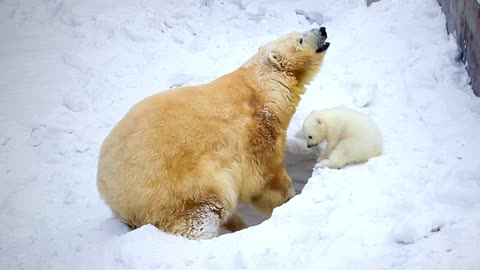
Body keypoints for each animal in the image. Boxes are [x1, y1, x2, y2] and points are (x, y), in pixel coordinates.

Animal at [97, 26, 330, 238]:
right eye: (301, 39)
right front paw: (289, 198)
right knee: (201, 215)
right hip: (176, 188)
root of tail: (108, 191)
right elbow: (264, 178)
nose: (322, 29)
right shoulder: (255, 129)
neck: (262, 87)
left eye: (301, 30)